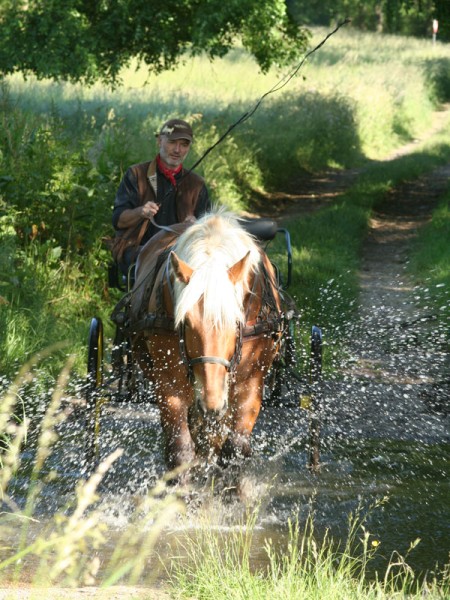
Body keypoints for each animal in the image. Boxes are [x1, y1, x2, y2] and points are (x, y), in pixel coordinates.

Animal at [125, 210, 284, 482]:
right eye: (186, 323)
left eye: (235, 321)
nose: (211, 404)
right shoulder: (170, 384)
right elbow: (180, 451)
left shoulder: (251, 381)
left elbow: (234, 449)